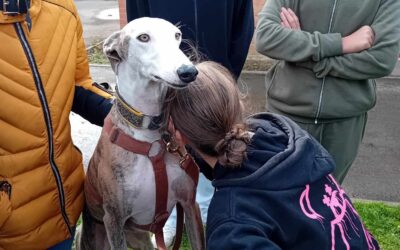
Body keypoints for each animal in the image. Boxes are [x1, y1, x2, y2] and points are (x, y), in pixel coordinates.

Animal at [76, 17, 205, 250]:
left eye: (177, 35)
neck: (148, 131)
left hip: (142, 239)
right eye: (143, 37)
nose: (189, 72)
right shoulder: (114, 219)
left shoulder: (190, 203)